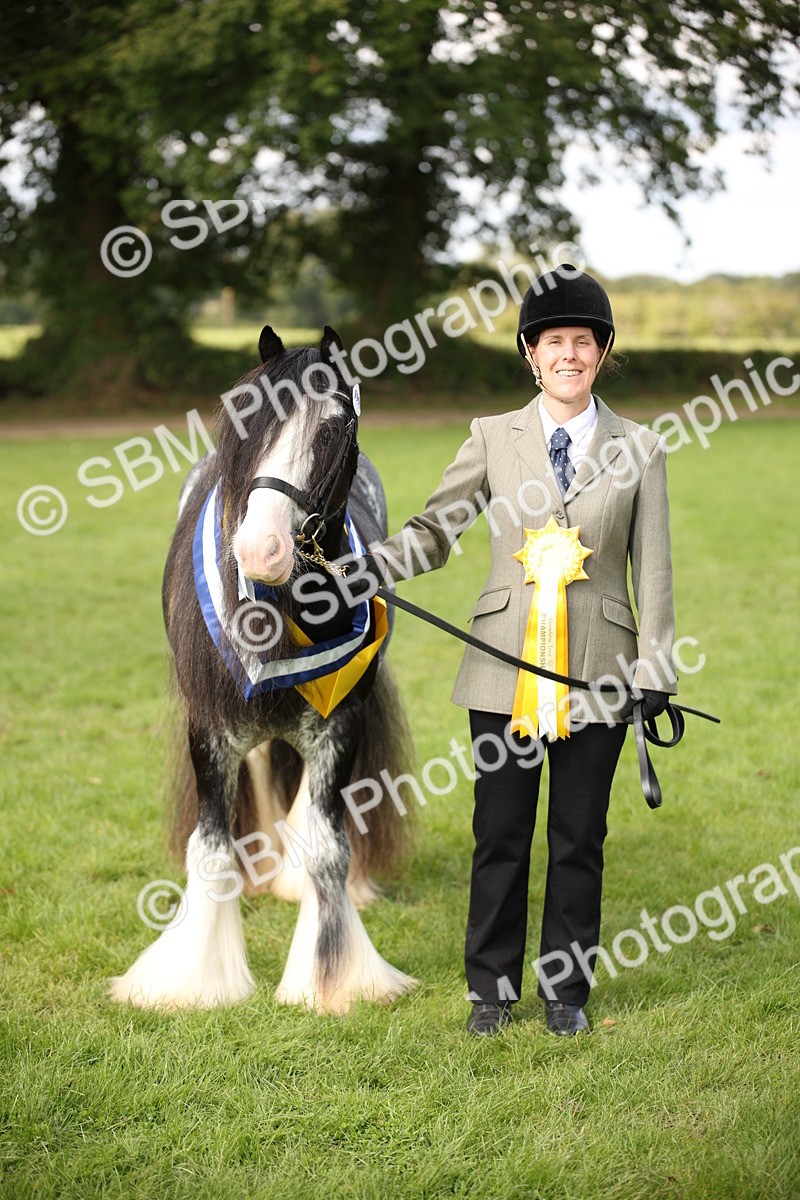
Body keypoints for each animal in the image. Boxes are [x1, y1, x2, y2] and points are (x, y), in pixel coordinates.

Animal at [110, 325, 417, 1013]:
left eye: (331, 430)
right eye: (248, 423)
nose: (260, 549)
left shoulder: (340, 724)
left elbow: (329, 847)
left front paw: (334, 981)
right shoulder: (211, 730)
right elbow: (211, 848)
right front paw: (192, 980)